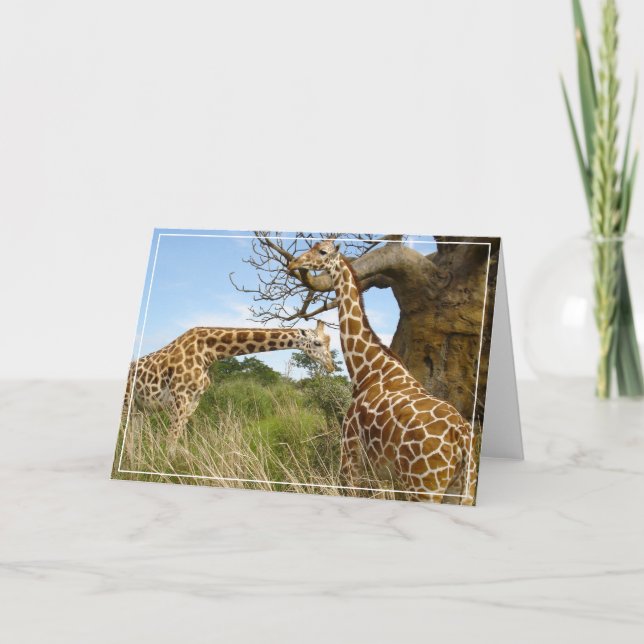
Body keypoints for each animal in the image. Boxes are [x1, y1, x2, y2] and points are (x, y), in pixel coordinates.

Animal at [123, 321, 334, 441]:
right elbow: (171, 439)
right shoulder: (180, 398)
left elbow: (178, 436)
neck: (208, 353)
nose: (331, 366)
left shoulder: (193, 401)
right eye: (317, 343)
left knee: (132, 438)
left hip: (139, 409)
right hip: (128, 403)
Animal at [288, 240, 477, 505]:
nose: (293, 263)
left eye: (322, 251)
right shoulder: (380, 471)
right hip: (463, 488)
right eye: (313, 245)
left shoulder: (351, 454)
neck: (367, 368)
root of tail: (462, 438)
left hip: (424, 487)